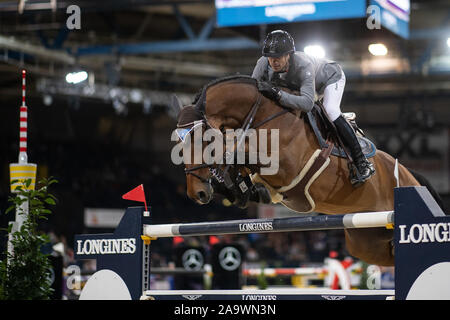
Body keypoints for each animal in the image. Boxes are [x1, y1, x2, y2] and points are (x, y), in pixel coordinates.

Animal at [174, 74, 442, 264]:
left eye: (201, 140)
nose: (196, 193)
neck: (264, 115)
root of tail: (412, 177)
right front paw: (239, 189)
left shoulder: (287, 165)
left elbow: (241, 153)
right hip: (368, 243)